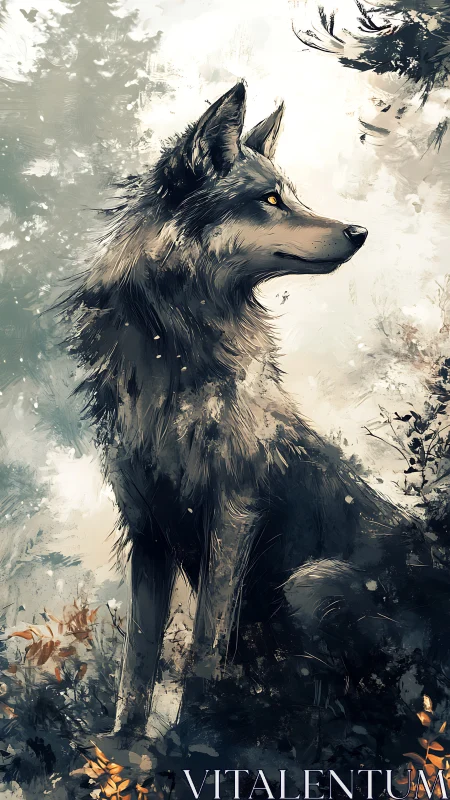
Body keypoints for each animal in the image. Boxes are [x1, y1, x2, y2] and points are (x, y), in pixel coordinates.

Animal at [64, 83, 442, 745]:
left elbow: (204, 646)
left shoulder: (233, 512)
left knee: (363, 703)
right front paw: (125, 745)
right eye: (269, 199)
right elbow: (139, 657)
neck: (175, 361)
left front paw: (191, 736)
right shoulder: (147, 529)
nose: (360, 230)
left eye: (291, 193)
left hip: (309, 582)